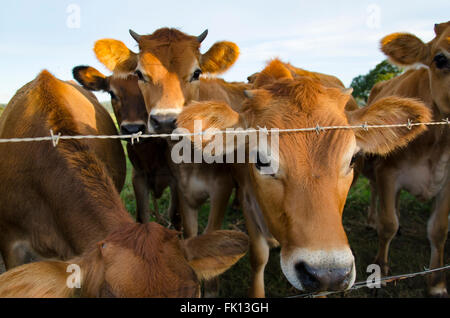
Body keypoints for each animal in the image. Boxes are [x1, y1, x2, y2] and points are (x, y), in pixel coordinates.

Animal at [364, 21, 448, 296]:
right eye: (441, 59)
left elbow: (439, 230)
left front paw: (437, 283)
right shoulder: (387, 171)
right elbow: (387, 223)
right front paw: (380, 271)